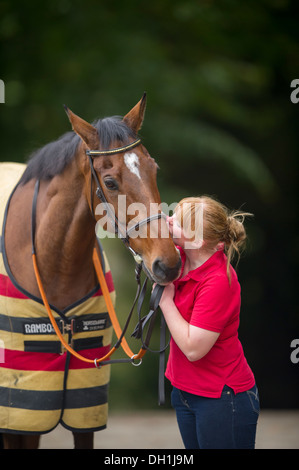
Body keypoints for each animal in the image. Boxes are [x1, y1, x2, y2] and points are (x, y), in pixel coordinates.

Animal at [0, 94, 182, 448]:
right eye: (110, 182)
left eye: (154, 169)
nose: (168, 264)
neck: (55, 264)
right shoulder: (18, 415)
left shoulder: (83, 410)